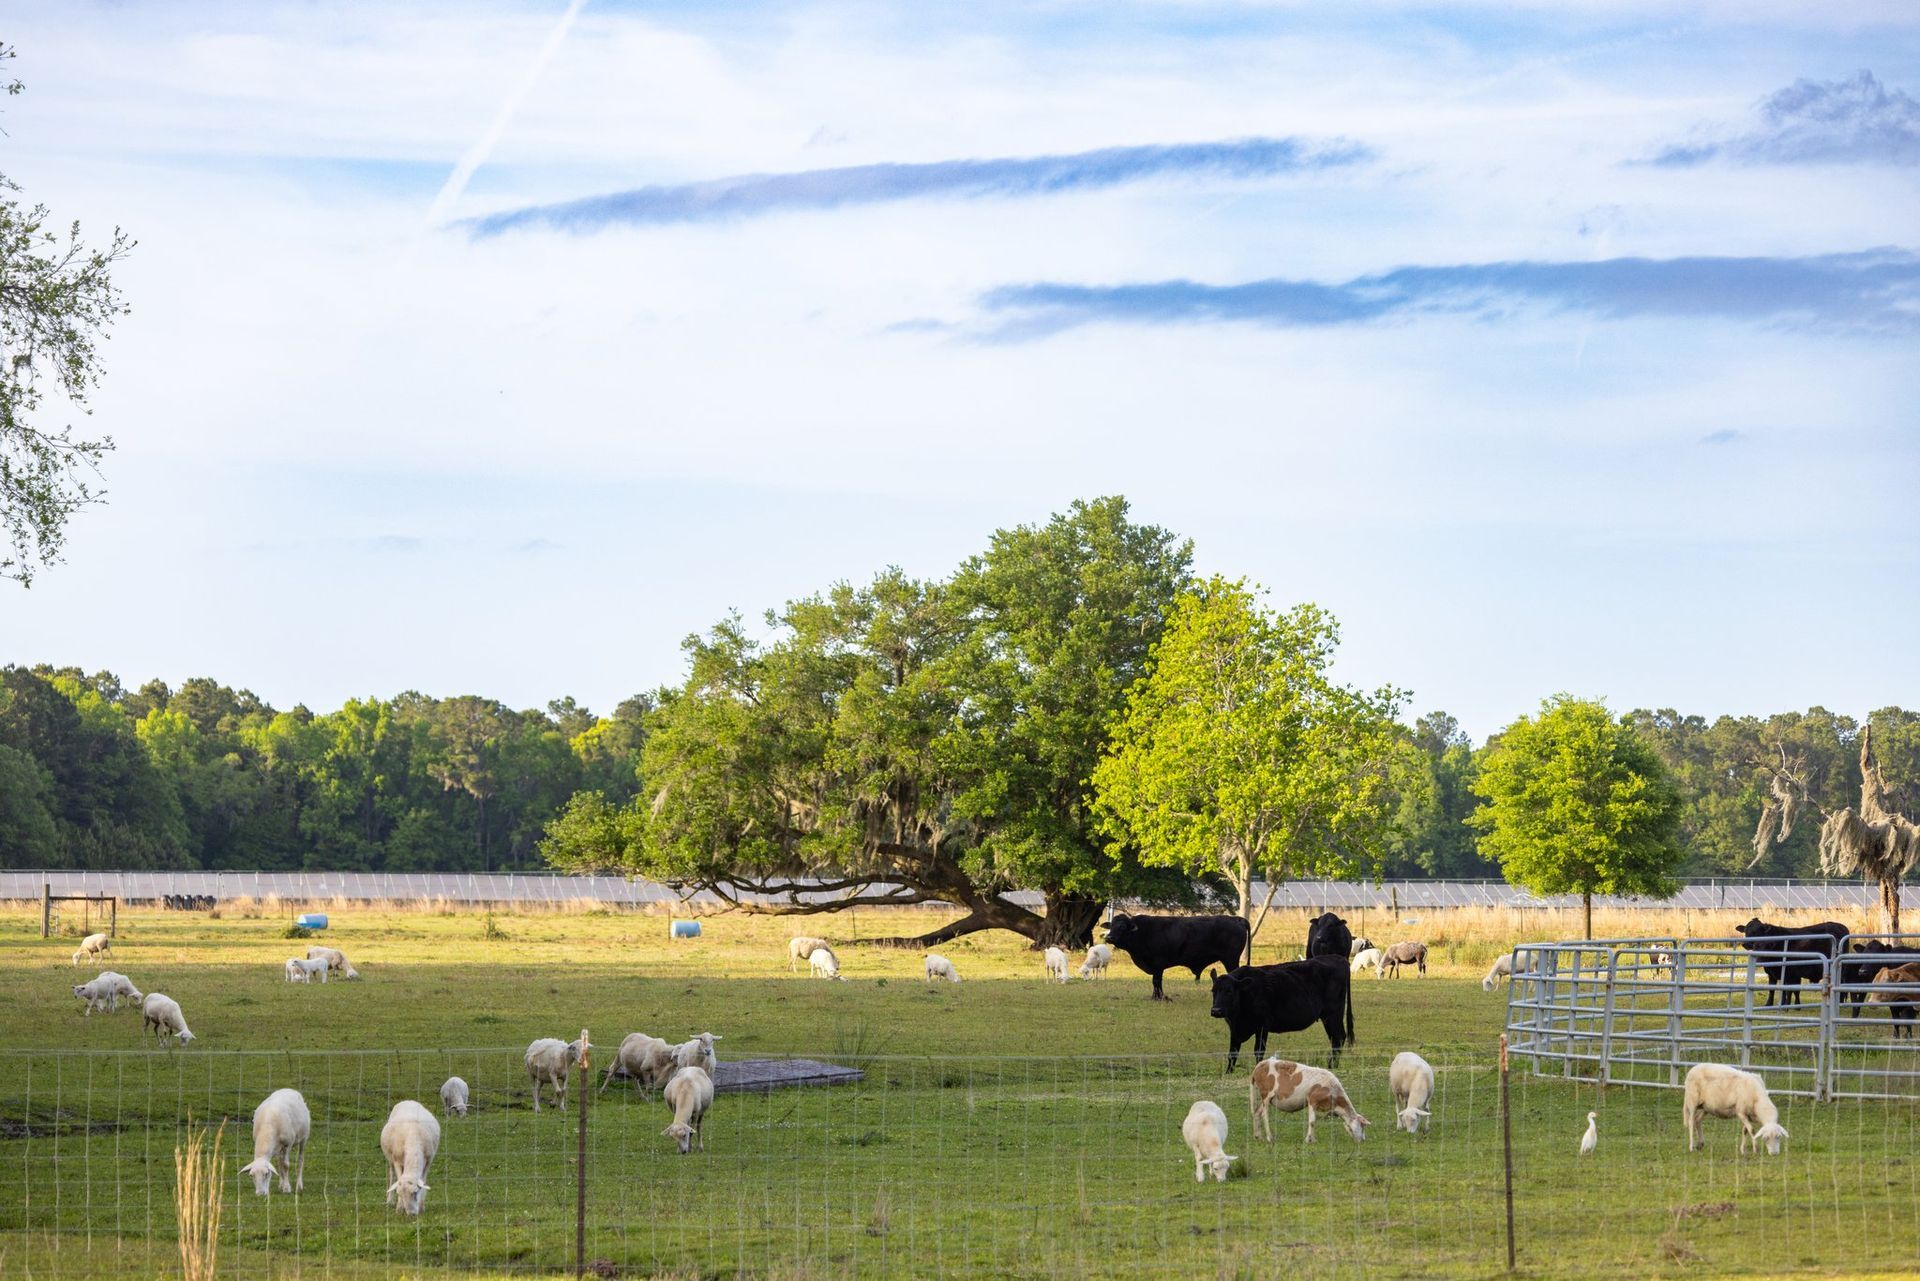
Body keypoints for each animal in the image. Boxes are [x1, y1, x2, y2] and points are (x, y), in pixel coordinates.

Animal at [1104, 913, 1250, 1001]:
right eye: (1111, 926)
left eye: (1122, 926)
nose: (1109, 937)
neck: (1142, 932)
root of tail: (1235, 918)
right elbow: (1156, 981)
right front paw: (1155, 996)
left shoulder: (1158, 963)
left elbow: (1156, 981)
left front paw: (1159, 997)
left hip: (1230, 960)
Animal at [1209, 955, 1354, 1072]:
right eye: (1213, 991)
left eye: (1229, 991)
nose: (1216, 1010)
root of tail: (1338, 958)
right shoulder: (1234, 1028)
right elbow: (1232, 1052)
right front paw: (1228, 1072)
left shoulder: (1262, 1025)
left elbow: (1259, 1051)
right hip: (1327, 1017)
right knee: (1336, 1039)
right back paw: (1332, 1065)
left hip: (1333, 1013)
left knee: (1339, 1037)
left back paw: (1332, 1065)